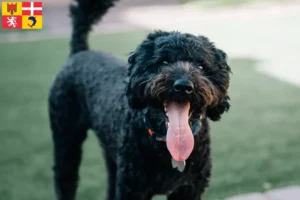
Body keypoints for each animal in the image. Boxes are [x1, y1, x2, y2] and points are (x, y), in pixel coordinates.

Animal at [48, 0, 232, 198]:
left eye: (200, 66)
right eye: (164, 62)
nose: (183, 86)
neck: (166, 145)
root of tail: (79, 52)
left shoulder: (189, 189)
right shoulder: (132, 188)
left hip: (111, 152)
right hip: (66, 137)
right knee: (64, 178)